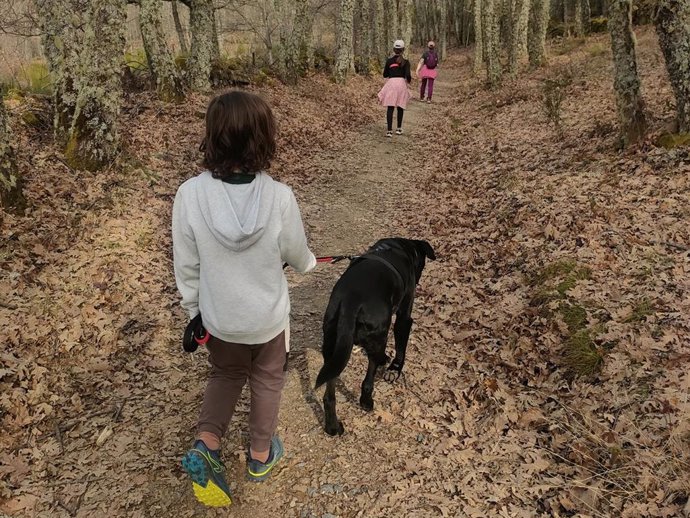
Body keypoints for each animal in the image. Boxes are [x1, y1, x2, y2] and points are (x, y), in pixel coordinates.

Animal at [314, 238, 432, 436]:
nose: (419, 279)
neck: (401, 248)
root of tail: (351, 301)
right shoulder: (404, 318)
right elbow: (400, 348)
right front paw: (395, 369)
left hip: (332, 348)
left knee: (329, 395)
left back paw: (332, 426)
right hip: (379, 333)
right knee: (368, 378)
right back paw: (366, 401)